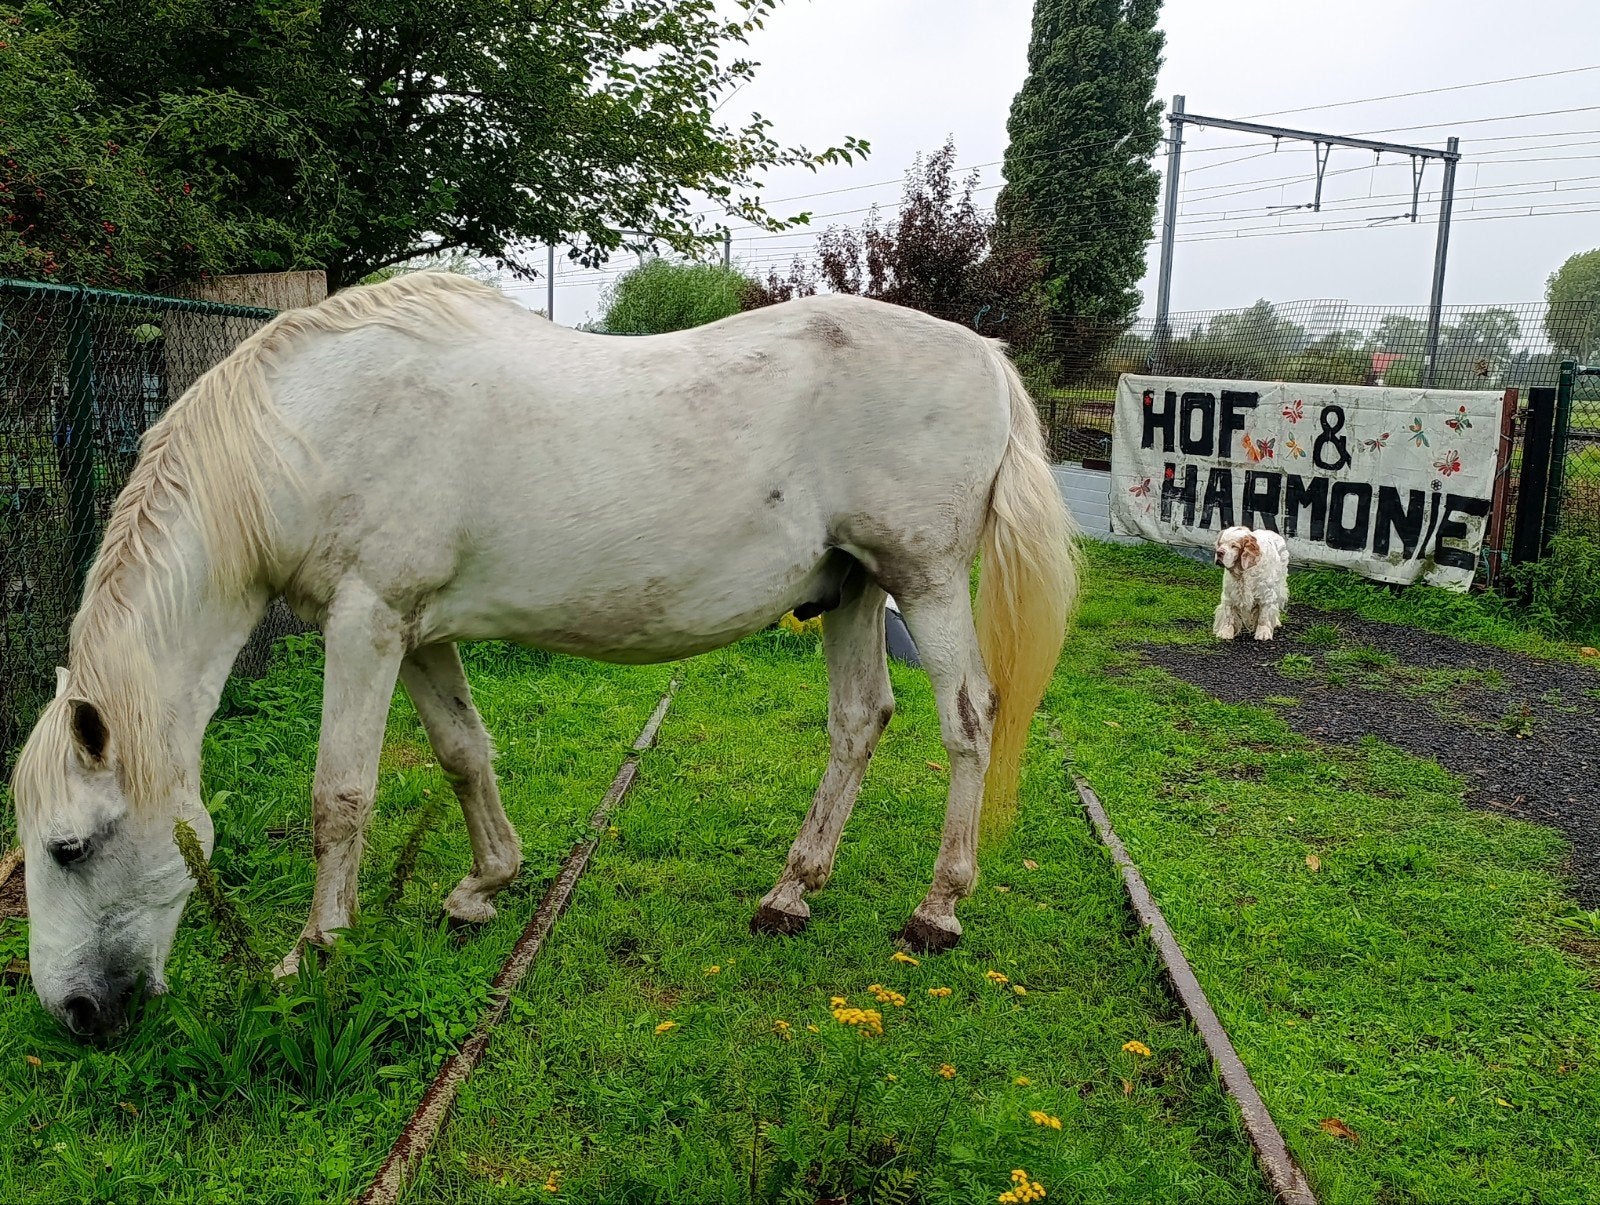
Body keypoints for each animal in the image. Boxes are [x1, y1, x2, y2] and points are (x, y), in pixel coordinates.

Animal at [11, 273, 1078, 1037]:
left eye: (70, 846)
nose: (74, 1012)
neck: (305, 432)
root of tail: (984, 354)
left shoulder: (364, 625)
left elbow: (339, 796)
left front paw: (313, 953)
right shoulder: (418, 634)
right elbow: (462, 752)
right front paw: (484, 888)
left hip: (924, 580)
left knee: (968, 720)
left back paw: (936, 909)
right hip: (853, 589)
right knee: (859, 720)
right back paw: (790, 894)